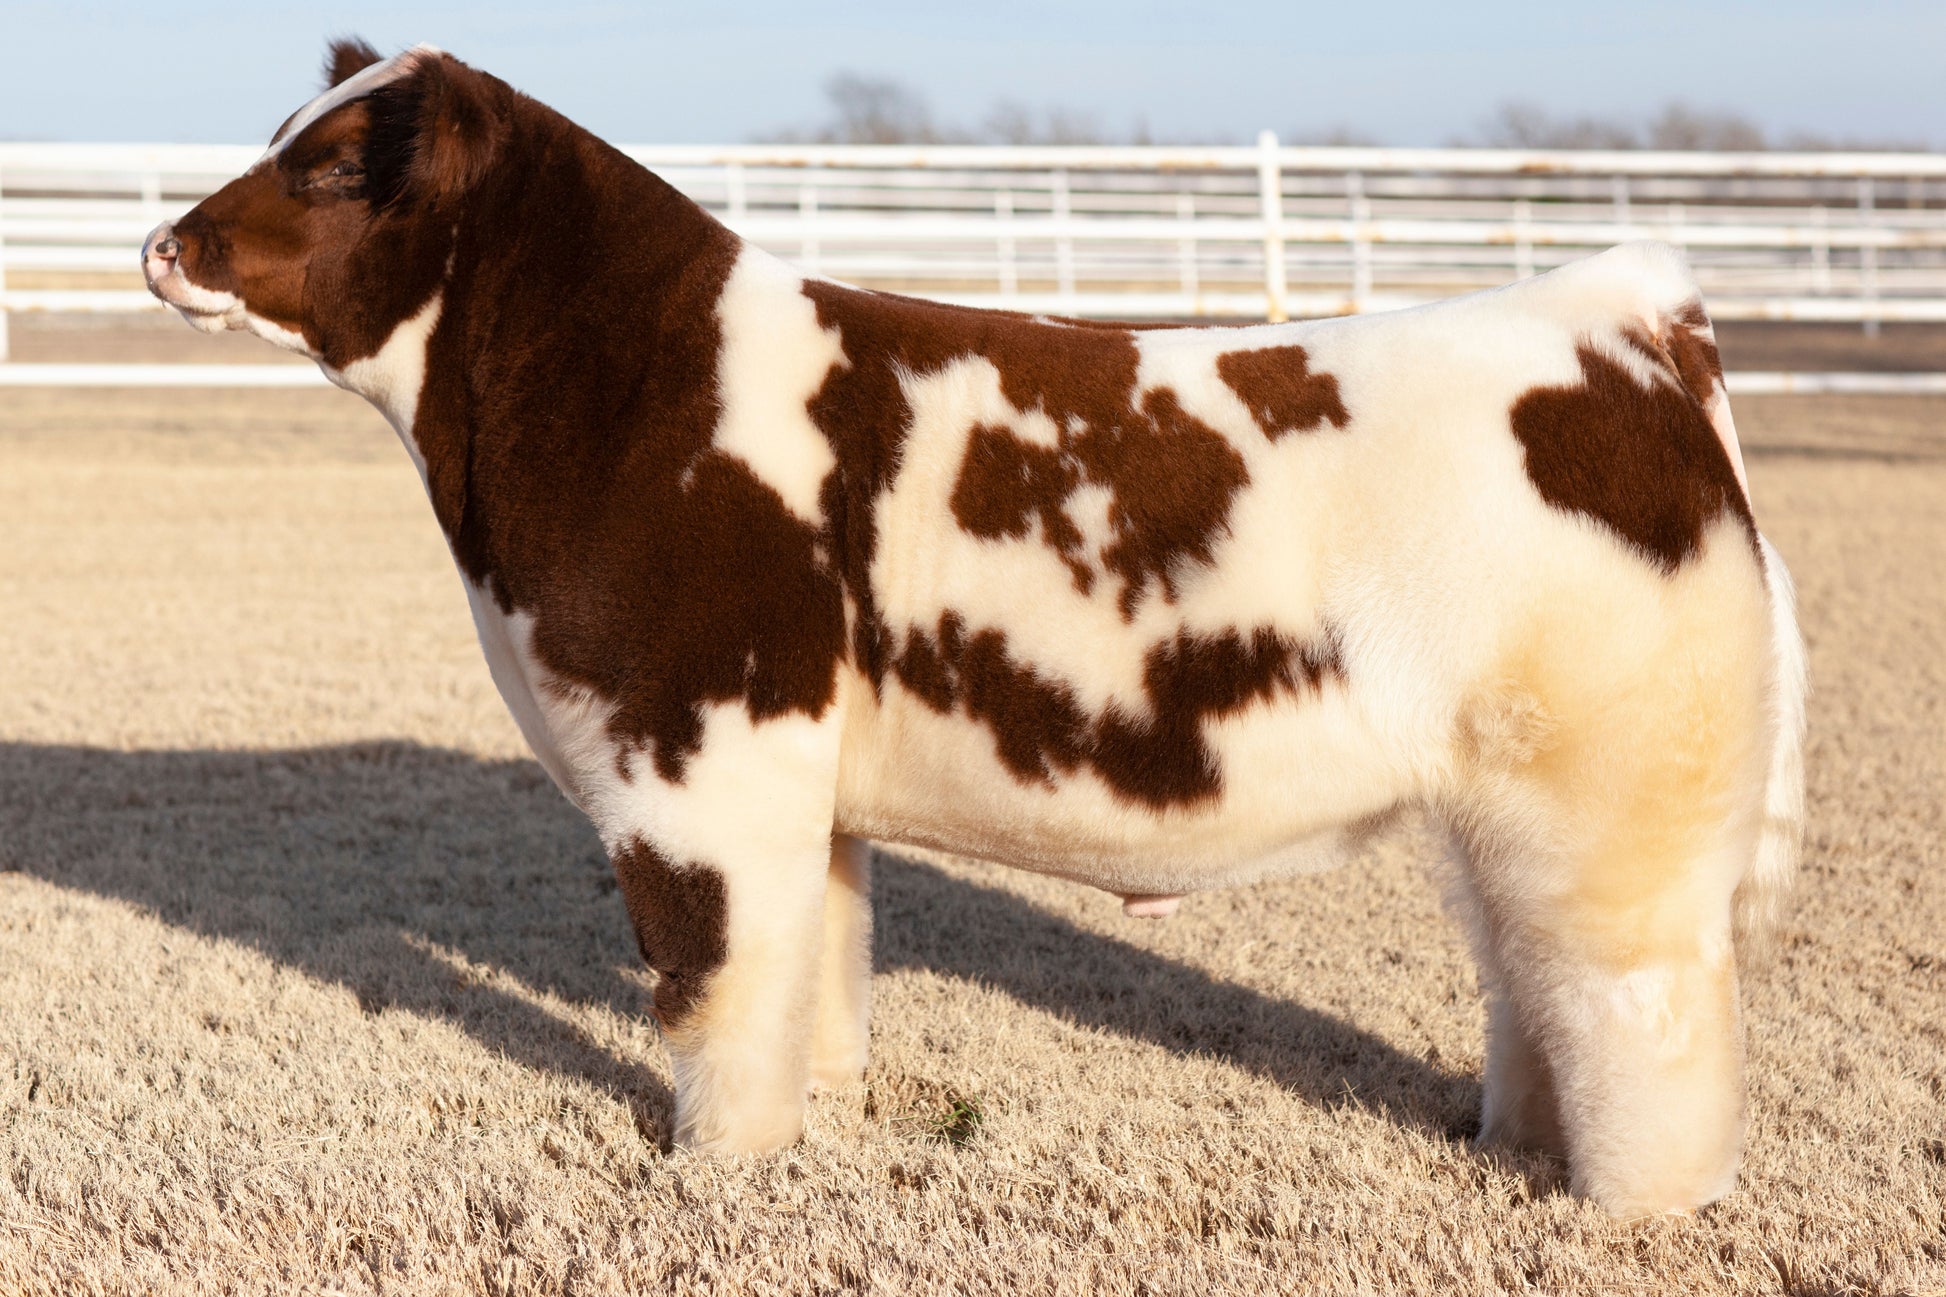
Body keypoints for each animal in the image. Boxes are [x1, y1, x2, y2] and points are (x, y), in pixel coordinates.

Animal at [141, 40, 1807, 1218]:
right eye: (286, 131)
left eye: (334, 165)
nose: (164, 243)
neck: (623, 396)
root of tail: (1614, 314)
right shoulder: (798, 784)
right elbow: (810, 968)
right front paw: (810, 1129)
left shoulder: (694, 763)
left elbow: (710, 983)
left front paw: (710, 1170)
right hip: (1506, 807)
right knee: (1532, 982)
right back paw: (1508, 1149)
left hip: (1618, 809)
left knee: (1645, 1017)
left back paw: (1624, 1210)